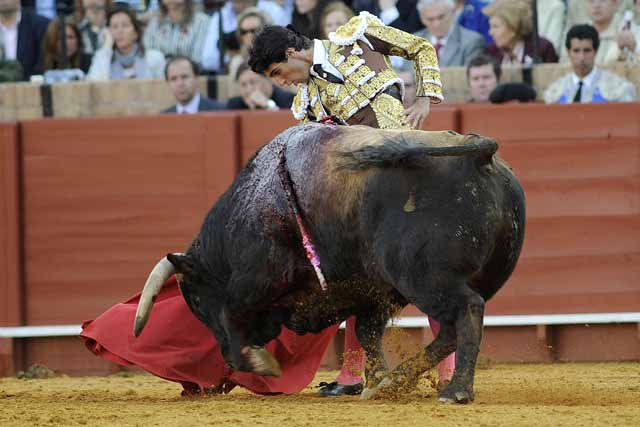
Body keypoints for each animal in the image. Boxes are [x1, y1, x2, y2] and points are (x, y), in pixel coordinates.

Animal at [131, 123, 524, 404]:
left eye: (196, 301)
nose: (226, 359)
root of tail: (481, 155)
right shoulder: (371, 291)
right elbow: (366, 333)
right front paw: (377, 380)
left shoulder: (258, 276)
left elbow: (230, 312)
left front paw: (260, 363)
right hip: (469, 278)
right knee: (449, 329)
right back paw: (395, 382)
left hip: (425, 277)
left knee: (467, 311)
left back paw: (455, 391)